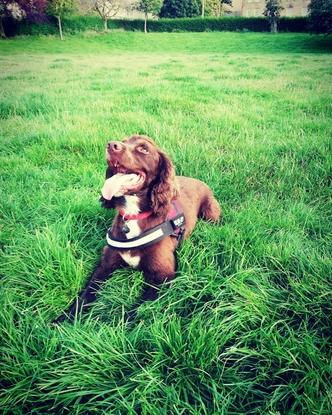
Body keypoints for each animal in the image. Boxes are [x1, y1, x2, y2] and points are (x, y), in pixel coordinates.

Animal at [54, 135, 220, 324]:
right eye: (123, 140)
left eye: (143, 149)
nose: (111, 145)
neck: (134, 216)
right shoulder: (105, 264)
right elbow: (87, 292)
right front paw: (65, 317)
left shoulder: (164, 276)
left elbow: (138, 311)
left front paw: (117, 325)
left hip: (211, 214)